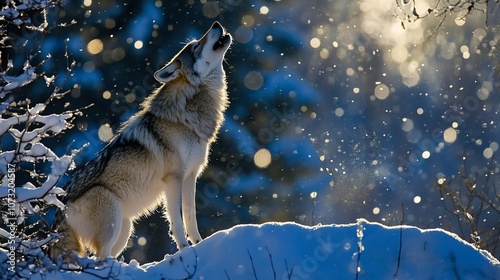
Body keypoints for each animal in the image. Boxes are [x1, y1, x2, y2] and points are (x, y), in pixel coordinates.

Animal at [49, 21, 233, 260]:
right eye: (194, 47)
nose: (216, 24)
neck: (186, 115)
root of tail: (58, 210)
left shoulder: (191, 176)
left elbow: (191, 217)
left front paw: (199, 244)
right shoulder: (174, 179)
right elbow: (177, 221)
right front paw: (184, 249)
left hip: (124, 231)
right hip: (112, 220)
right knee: (97, 259)